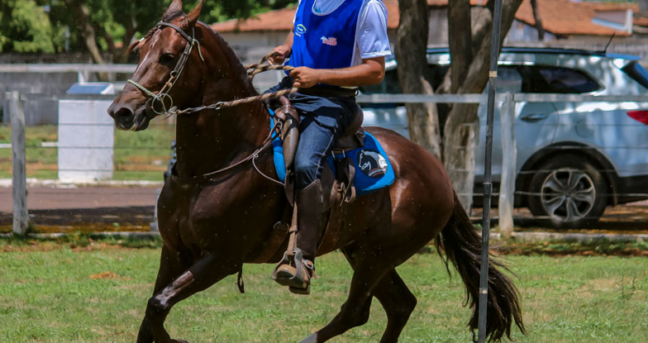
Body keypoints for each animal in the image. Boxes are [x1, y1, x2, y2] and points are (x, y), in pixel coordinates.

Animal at [106, 1, 520, 342]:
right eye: (139, 51)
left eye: (168, 56)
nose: (121, 111)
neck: (211, 166)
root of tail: (438, 172)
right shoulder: (174, 251)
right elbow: (152, 313)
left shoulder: (222, 258)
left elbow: (158, 305)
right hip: (362, 249)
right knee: (400, 305)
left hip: (378, 255)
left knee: (356, 311)